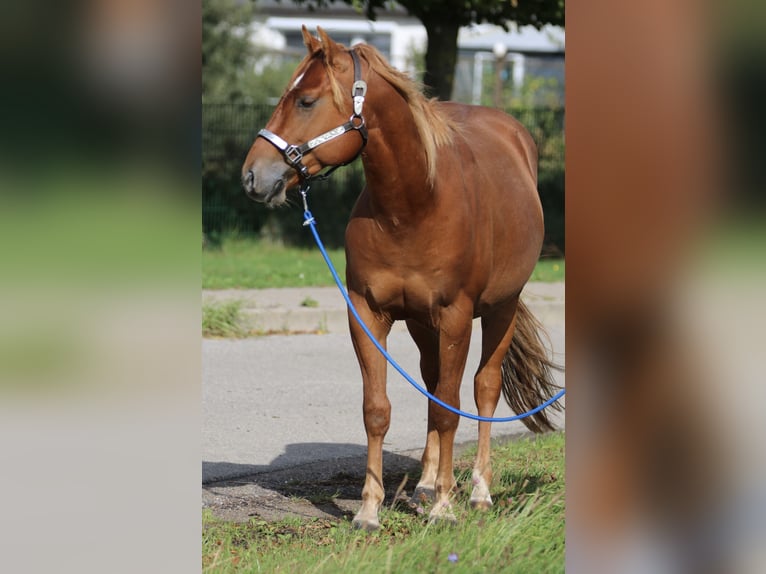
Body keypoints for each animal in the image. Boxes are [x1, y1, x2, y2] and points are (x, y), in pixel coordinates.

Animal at [242, 27, 561, 531]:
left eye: (307, 101)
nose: (253, 176)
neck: (414, 206)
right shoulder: (368, 313)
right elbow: (379, 410)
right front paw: (370, 510)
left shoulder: (456, 317)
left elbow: (452, 409)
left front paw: (445, 507)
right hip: (420, 322)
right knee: (431, 387)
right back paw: (427, 483)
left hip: (500, 309)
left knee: (482, 389)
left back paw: (477, 491)